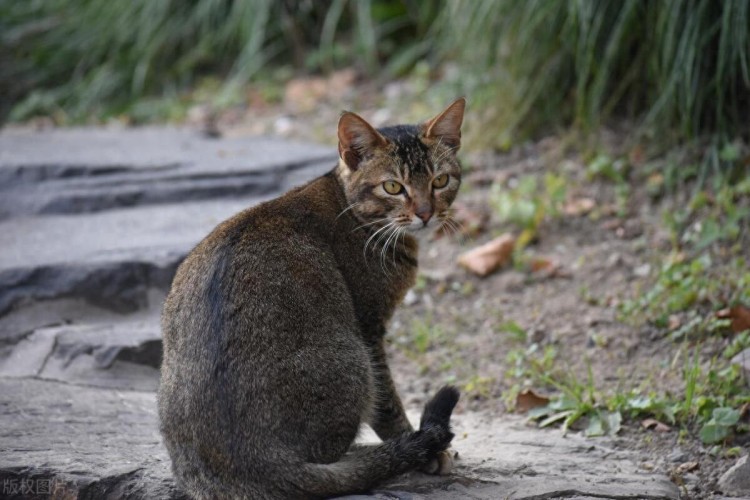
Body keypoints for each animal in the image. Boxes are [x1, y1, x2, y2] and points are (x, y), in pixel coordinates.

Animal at [157, 97, 464, 500]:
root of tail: (250, 463)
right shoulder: (370, 328)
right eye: (393, 187)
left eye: (439, 181)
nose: (426, 214)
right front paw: (419, 447)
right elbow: (389, 405)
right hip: (354, 360)